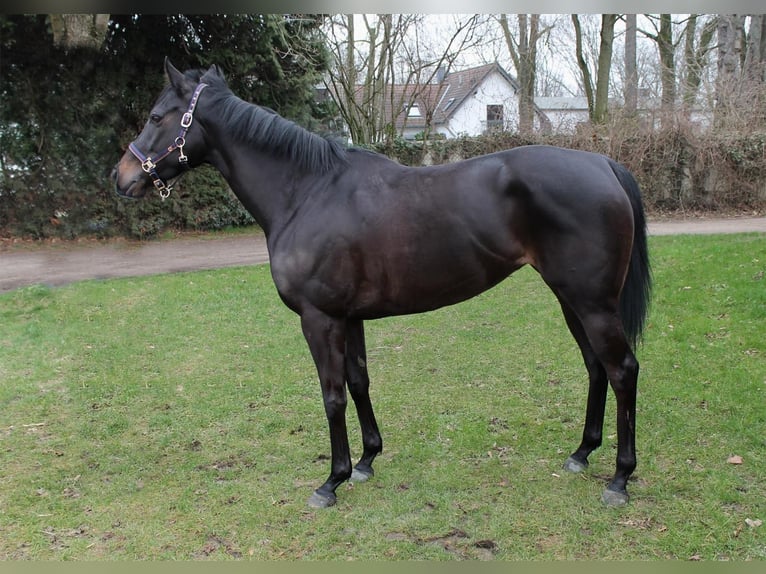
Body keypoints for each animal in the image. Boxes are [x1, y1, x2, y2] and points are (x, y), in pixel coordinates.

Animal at [112, 60, 656, 510]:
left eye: (157, 116)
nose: (122, 177)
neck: (307, 191)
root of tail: (603, 164)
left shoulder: (320, 319)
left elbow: (331, 393)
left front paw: (330, 481)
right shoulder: (349, 317)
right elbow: (359, 382)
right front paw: (367, 462)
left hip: (592, 303)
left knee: (623, 370)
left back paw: (619, 479)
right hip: (571, 299)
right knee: (596, 367)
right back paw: (581, 453)